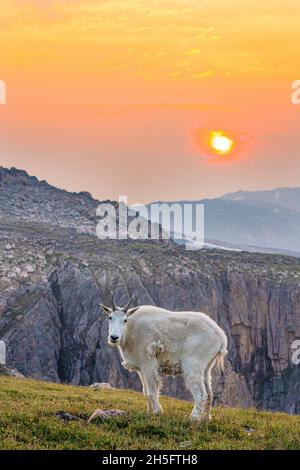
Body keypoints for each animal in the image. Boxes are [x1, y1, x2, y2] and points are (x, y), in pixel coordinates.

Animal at [101, 294, 227, 422]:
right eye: (110, 317)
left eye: (125, 320)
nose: (114, 337)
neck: (132, 329)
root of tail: (220, 336)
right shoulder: (141, 369)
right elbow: (145, 392)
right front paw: (148, 413)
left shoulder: (148, 364)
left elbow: (152, 392)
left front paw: (158, 412)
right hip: (206, 367)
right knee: (210, 393)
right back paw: (205, 418)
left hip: (194, 366)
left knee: (201, 394)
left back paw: (193, 418)